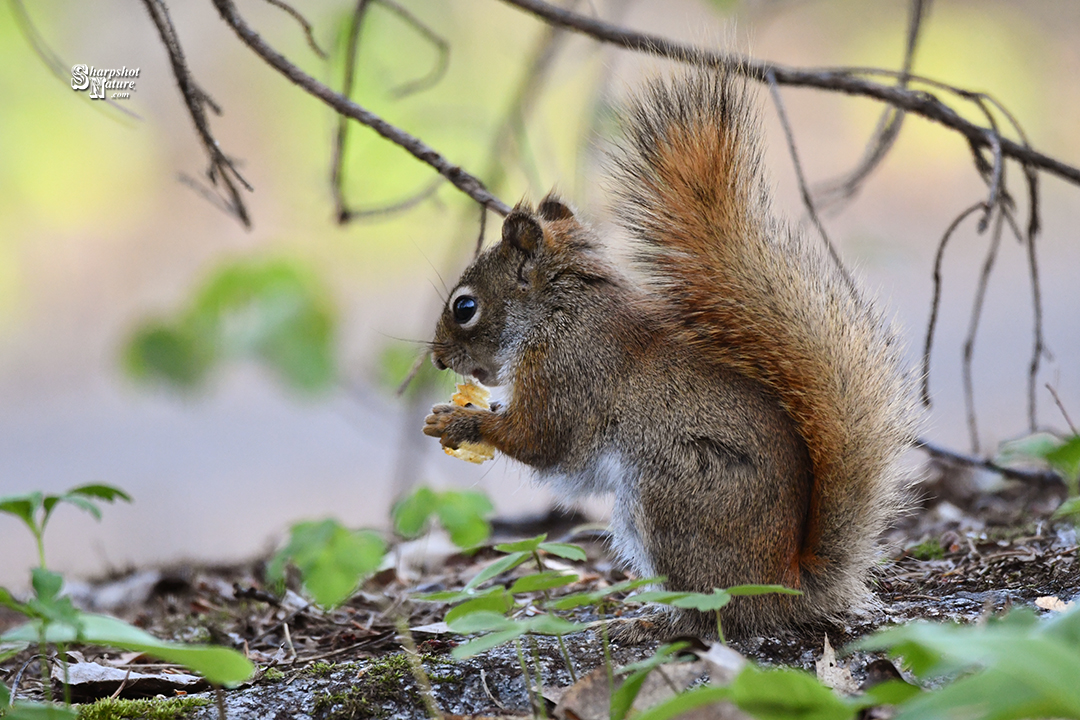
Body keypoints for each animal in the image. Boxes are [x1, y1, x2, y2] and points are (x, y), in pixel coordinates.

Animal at [423, 68, 919, 639]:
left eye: (464, 307)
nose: (438, 360)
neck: (558, 309)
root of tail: (788, 585)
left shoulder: (569, 369)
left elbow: (541, 437)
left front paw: (458, 422)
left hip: (670, 497)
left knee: (713, 613)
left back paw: (651, 624)